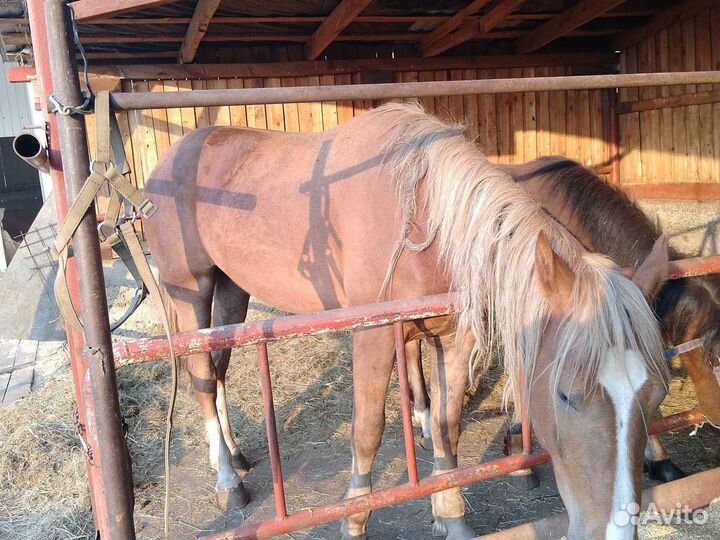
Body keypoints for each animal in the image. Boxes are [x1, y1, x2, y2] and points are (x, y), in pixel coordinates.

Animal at [144, 103, 670, 540]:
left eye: (656, 395)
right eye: (565, 395)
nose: (616, 529)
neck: (426, 221)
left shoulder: (455, 338)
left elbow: (446, 422)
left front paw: (450, 514)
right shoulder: (374, 336)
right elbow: (368, 430)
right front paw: (355, 519)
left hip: (233, 291)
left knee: (218, 368)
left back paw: (234, 455)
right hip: (189, 290)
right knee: (201, 378)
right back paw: (227, 481)